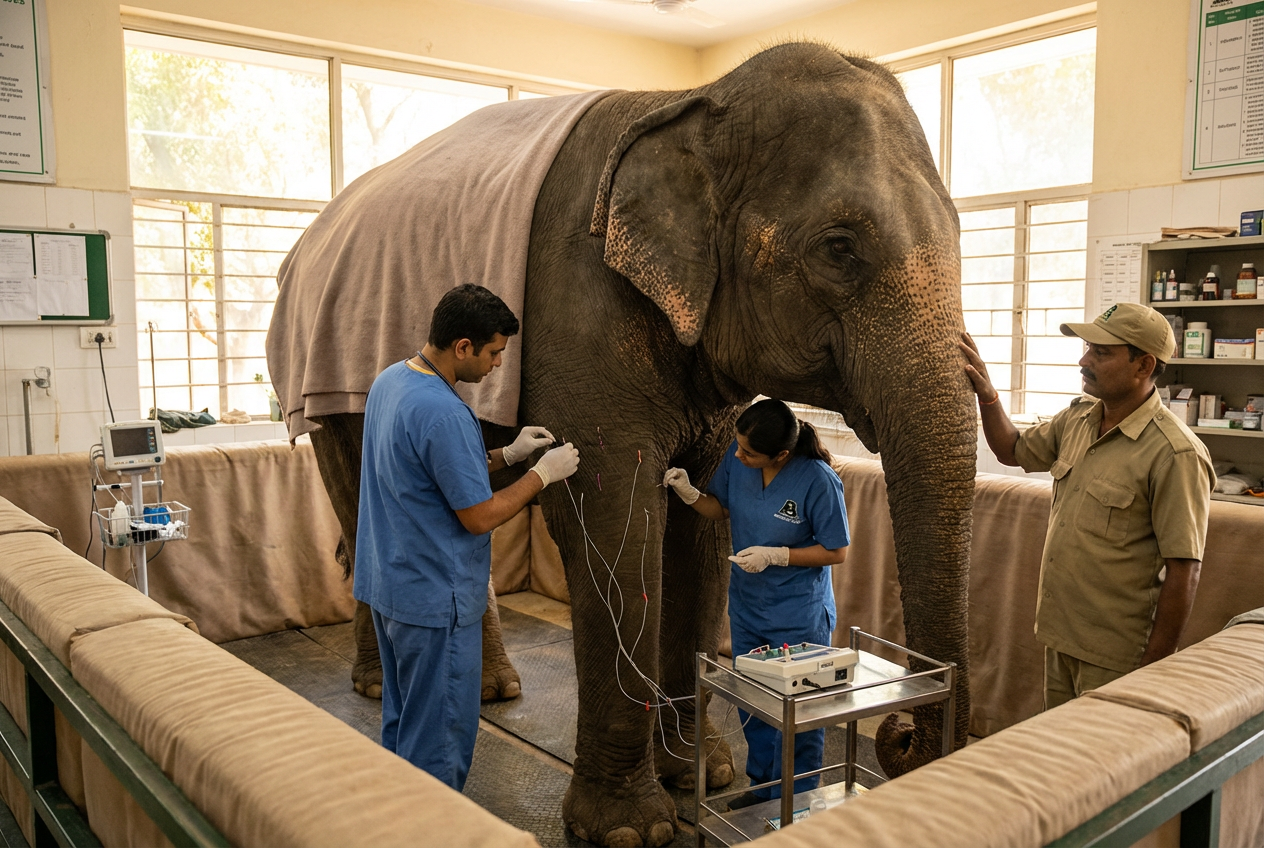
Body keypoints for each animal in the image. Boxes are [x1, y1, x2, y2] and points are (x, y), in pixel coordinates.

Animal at [268, 42, 975, 848]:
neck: (693, 99)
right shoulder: (582, 309)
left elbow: (703, 528)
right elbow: (618, 521)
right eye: (839, 247)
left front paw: (708, 775)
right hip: (323, 387)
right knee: (363, 506)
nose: (901, 736)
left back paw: (493, 690)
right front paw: (633, 829)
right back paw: (378, 684)